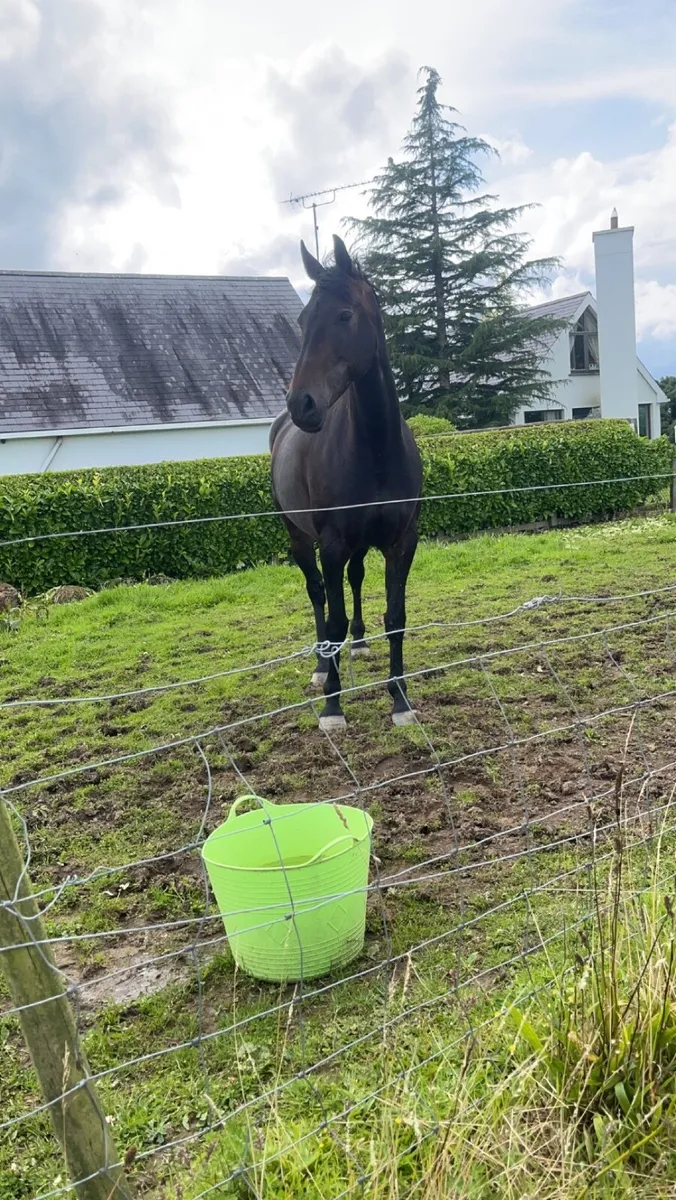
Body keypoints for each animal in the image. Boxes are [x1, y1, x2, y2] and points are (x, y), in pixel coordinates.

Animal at [270, 234, 422, 730]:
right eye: (303, 320)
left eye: (344, 315)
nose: (302, 404)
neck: (375, 450)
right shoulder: (332, 544)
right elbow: (332, 617)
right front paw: (333, 706)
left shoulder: (401, 541)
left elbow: (396, 615)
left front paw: (400, 699)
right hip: (299, 537)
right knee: (318, 595)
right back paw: (322, 666)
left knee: (354, 581)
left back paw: (359, 642)